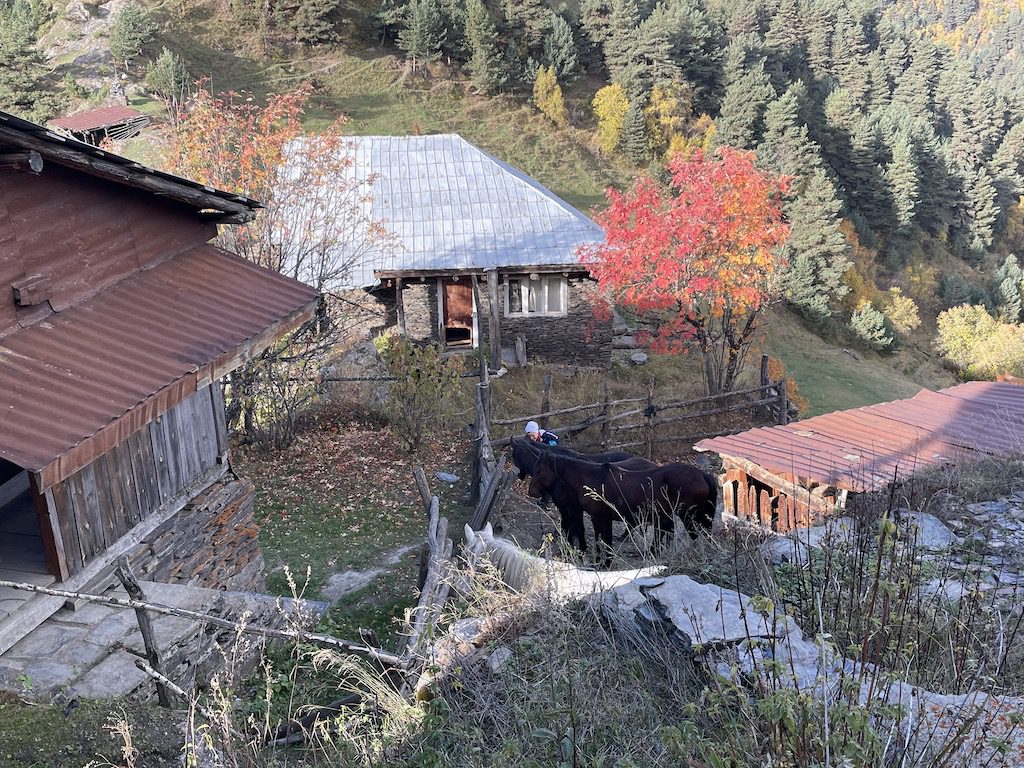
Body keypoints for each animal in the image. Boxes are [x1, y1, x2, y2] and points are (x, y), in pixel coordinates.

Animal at [527, 452, 717, 565]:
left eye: (539, 471)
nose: (531, 492)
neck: (591, 478)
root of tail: (702, 474)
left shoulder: (597, 517)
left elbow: (601, 540)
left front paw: (602, 562)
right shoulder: (603, 518)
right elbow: (605, 540)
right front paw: (605, 561)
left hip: (688, 516)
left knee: (693, 535)